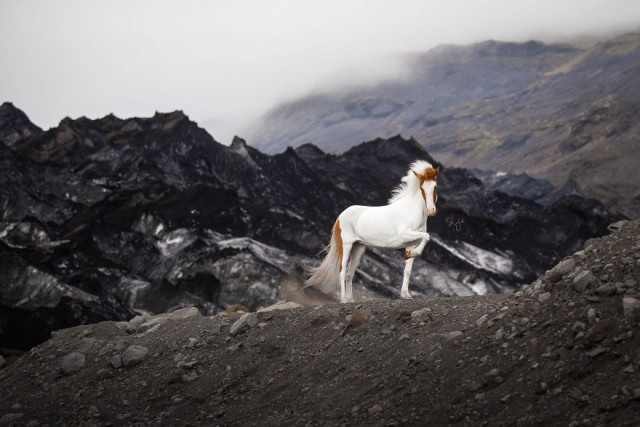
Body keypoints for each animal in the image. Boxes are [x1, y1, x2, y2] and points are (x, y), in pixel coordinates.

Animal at [306, 160, 440, 304]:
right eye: (422, 188)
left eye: (435, 187)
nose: (431, 211)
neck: (411, 211)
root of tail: (339, 218)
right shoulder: (404, 235)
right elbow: (427, 236)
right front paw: (412, 255)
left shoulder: (411, 244)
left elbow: (408, 271)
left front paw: (406, 294)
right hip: (346, 246)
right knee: (342, 271)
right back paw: (344, 300)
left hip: (358, 248)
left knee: (349, 273)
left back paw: (351, 299)